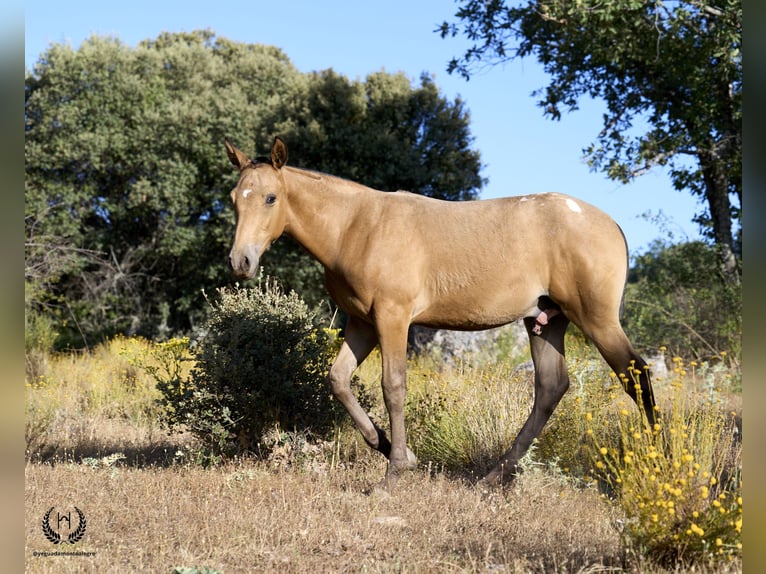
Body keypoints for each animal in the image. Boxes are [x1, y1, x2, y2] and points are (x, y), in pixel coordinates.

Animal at [225, 137, 656, 492]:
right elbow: (339, 380)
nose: (240, 262)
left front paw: (395, 471)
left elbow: (393, 387)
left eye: (270, 198)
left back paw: (656, 461)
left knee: (636, 375)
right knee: (551, 388)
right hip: (545, 322)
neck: (356, 226)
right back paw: (494, 477)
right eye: (234, 198)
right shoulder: (362, 323)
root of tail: (612, 225)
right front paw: (387, 446)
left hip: (597, 319)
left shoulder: (393, 317)